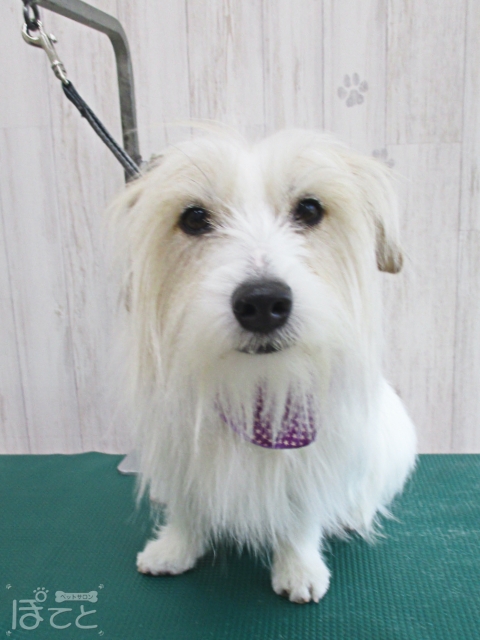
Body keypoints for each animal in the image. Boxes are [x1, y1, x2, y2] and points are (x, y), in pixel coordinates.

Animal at [109, 128, 416, 603]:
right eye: (194, 218)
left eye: (309, 209)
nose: (262, 302)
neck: (253, 387)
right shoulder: (180, 442)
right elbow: (187, 505)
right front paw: (175, 547)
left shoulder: (312, 446)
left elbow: (302, 512)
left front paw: (299, 566)